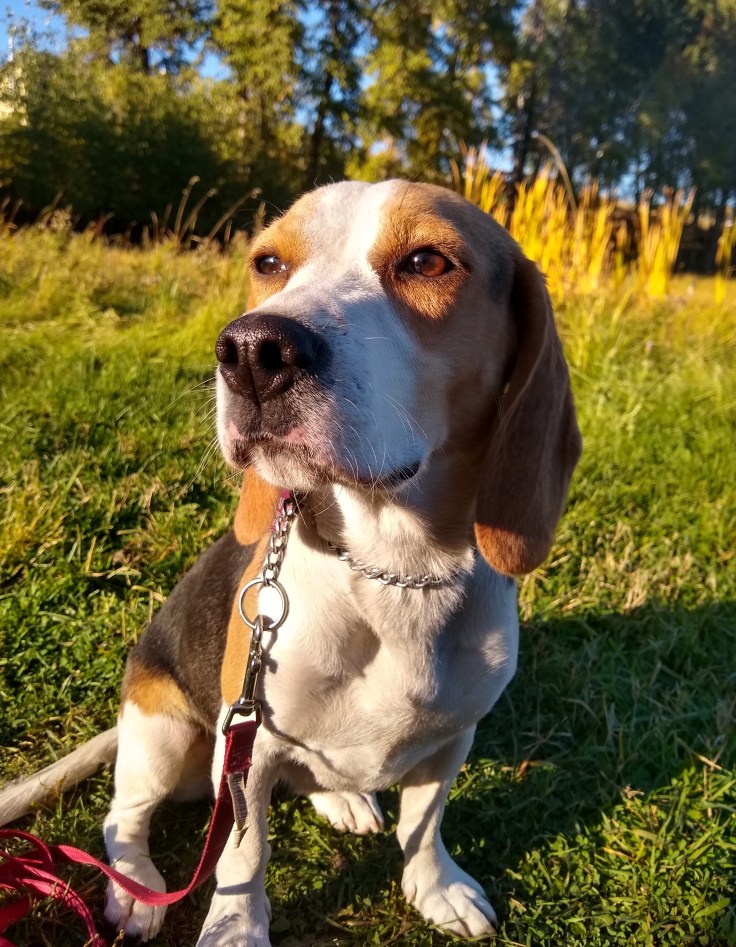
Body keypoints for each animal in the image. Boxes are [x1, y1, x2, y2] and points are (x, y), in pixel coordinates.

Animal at [97, 179, 580, 945]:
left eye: (426, 260)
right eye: (268, 262)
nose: (253, 349)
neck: (397, 566)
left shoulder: (453, 736)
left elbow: (423, 824)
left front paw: (433, 886)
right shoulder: (250, 741)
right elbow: (245, 850)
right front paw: (236, 926)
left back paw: (343, 800)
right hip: (162, 731)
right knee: (124, 815)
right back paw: (137, 885)